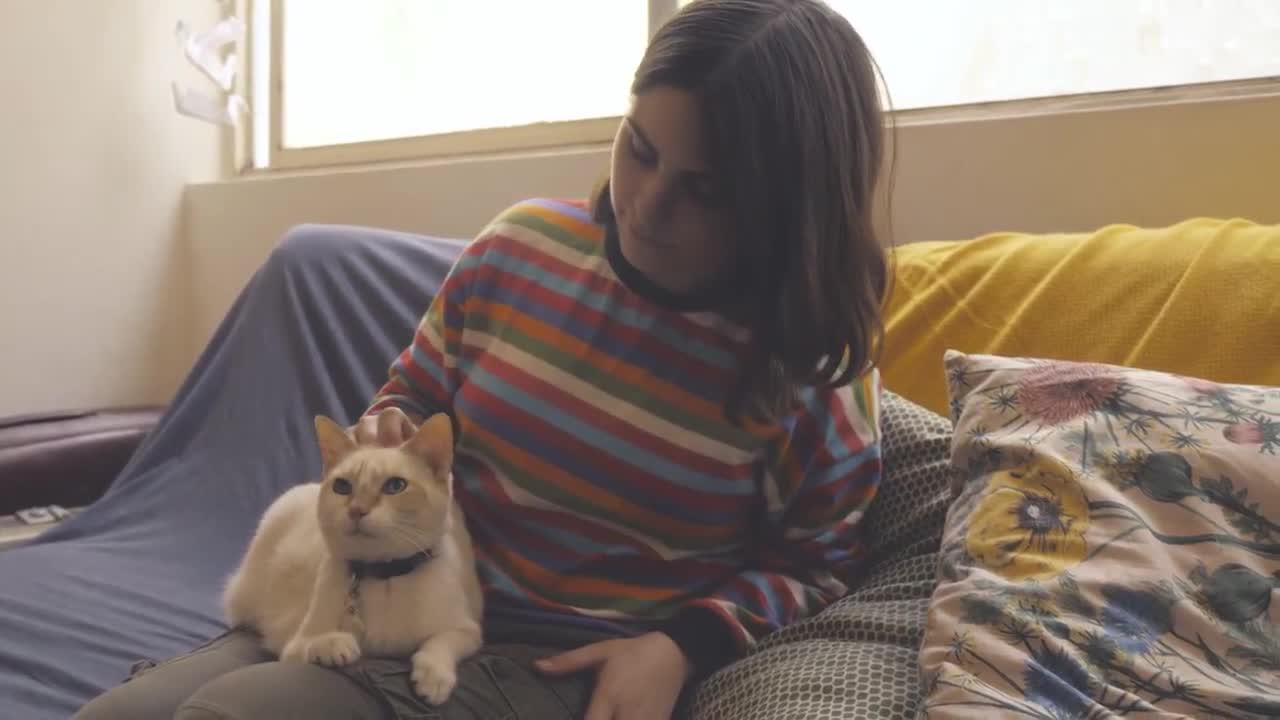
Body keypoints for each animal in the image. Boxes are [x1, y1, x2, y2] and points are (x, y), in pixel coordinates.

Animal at [222, 412, 481, 702]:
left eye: (395, 486)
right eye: (342, 486)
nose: (357, 510)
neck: (384, 574)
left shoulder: (468, 631)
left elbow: (439, 643)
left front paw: (433, 679)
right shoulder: (293, 647)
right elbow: (316, 642)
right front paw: (336, 644)